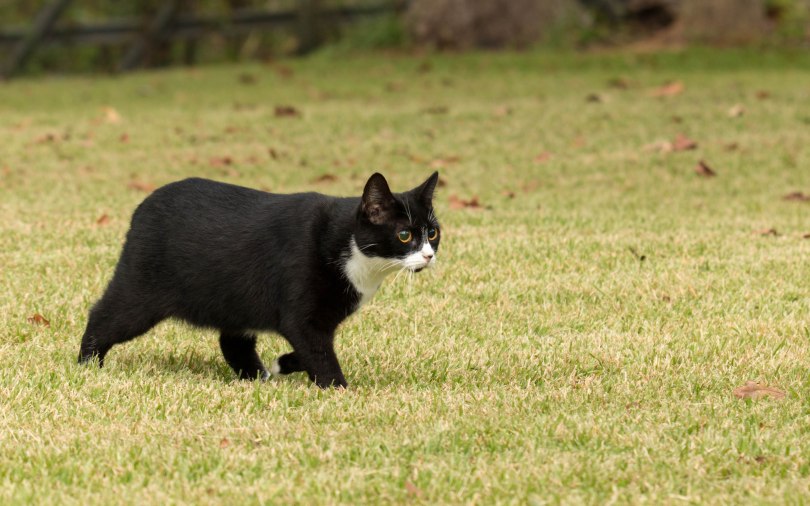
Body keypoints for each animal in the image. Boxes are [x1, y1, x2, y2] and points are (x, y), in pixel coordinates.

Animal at [78, 172, 441, 388]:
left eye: (433, 233)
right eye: (405, 234)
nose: (428, 255)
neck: (345, 243)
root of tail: (143, 205)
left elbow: (313, 349)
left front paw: (284, 364)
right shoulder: (301, 315)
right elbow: (319, 352)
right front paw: (338, 387)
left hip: (235, 298)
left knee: (232, 342)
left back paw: (257, 376)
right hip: (141, 288)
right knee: (104, 316)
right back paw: (87, 364)